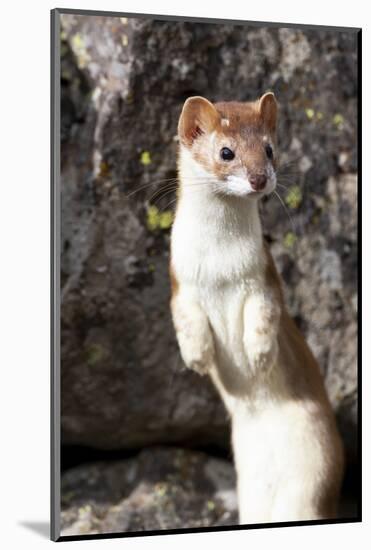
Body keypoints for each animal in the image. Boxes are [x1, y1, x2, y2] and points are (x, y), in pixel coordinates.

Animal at [170, 94, 344, 528]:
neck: (218, 266)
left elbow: (264, 317)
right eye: (226, 152)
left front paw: (260, 356)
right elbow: (186, 321)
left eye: (269, 148)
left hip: (316, 469)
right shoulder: (180, 282)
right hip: (251, 488)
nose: (260, 179)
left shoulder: (262, 279)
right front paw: (198, 357)